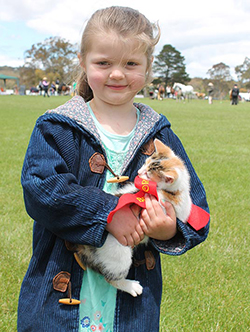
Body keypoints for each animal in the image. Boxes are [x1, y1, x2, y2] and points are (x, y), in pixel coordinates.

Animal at [73, 139, 191, 296]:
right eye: (145, 163)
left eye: (148, 174)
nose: (139, 172)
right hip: (119, 254)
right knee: (111, 277)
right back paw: (131, 286)